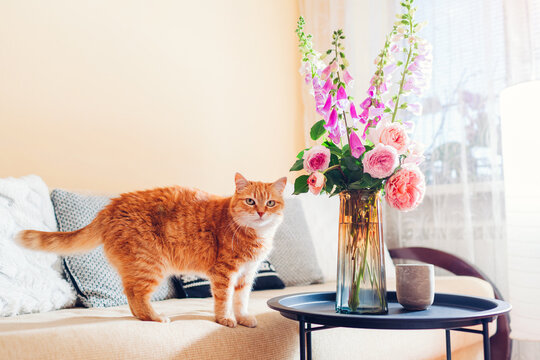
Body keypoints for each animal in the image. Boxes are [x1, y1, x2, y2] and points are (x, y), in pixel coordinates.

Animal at [16, 173, 286, 328]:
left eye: (270, 202)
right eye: (250, 201)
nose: (261, 212)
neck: (254, 235)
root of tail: (111, 207)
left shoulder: (246, 275)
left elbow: (241, 301)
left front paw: (243, 318)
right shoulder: (224, 274)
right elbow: (224, 300)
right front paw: (225, 319)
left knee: (131, 297)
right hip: (150, 265)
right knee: (136, 295)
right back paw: (155, 317)